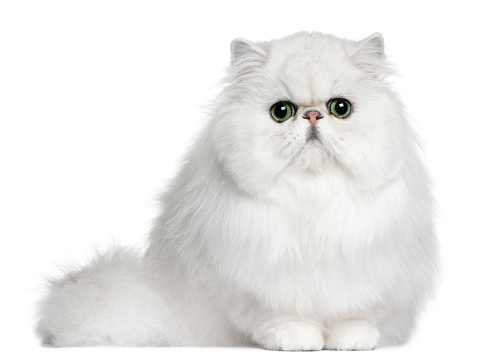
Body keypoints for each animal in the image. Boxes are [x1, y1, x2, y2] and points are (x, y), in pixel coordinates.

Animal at [35, 32, 438, 352]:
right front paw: (296, 339)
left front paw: (350, 340)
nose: (311, 116)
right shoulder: (251, 276)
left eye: (340, 108)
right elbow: (280, 316)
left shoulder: (370, 266)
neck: (312, 193)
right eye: (281, 112)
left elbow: (354, 315)